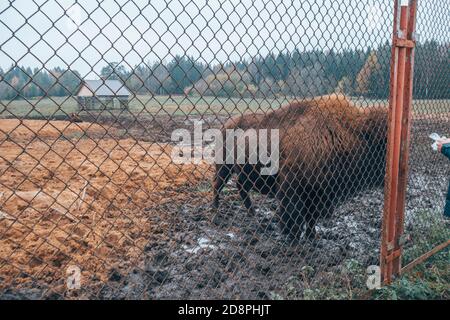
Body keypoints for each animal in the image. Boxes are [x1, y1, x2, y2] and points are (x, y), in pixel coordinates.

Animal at [213, 95, 388, 240]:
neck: (354, 133)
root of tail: (226, 124)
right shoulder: (293, 186)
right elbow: (294, 213)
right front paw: (293, 236)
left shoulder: (318, 193)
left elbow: (311, 217)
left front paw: (312, 236)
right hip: (224, 167)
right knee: (218, 185)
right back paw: (216, 214)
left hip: (246, 172)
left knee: (240, 186)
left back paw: (253, 214)